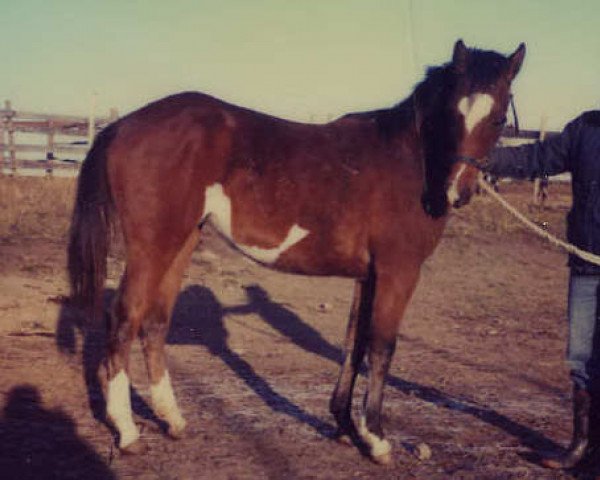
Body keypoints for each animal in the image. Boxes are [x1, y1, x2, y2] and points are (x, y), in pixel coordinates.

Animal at [67, 40, 524, 464]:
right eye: (452, 113)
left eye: (499, 118)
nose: (457, 192)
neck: (409, 159)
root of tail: (122, 125)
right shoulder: (399, 271)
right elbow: (381, 346)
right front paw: (376, 439)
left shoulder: (368, 275)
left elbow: (353, 342)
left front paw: (345, 426)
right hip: (153, 246)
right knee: (124, 319)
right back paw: (128, 432)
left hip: (182, 243)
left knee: (156, 322)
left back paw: (173, 420)